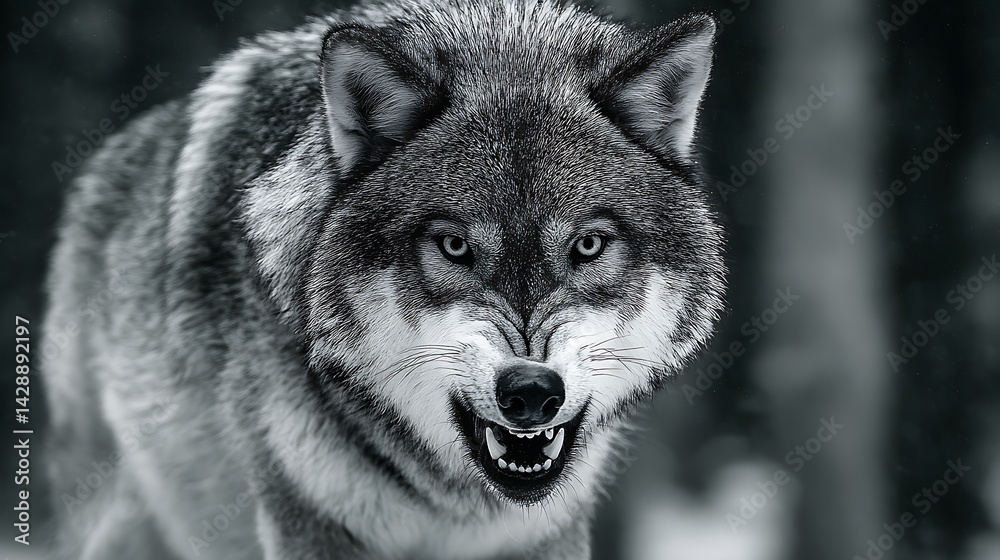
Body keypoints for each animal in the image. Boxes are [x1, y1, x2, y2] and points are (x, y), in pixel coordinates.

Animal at [41, 0, 726, 558]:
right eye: (454, 246)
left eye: (588, 245)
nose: (531, 391)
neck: (452, 501)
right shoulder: (309, 525)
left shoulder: (548, 533)